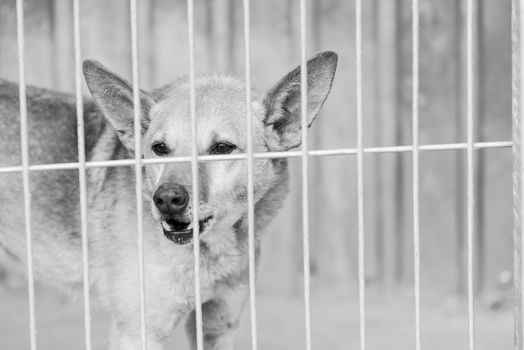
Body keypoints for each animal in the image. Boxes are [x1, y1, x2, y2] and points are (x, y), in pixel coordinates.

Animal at [0, 50, 336, 348]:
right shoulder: (138, 332)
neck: (210, 250)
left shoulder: (218, 325)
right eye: (159, 148)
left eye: (222, 148)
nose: (165, 199)